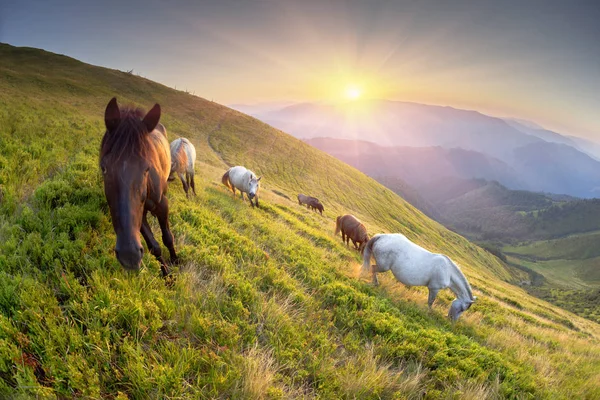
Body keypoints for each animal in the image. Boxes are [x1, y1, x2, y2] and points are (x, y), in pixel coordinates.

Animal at [98, 98, 177, 276]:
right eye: (104, 168)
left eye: (147, 168)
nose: (129, 255)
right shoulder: (139, 215)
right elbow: (154, 247)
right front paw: (166, 275)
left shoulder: (163, 205)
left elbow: (168, 238)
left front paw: (176, 261)